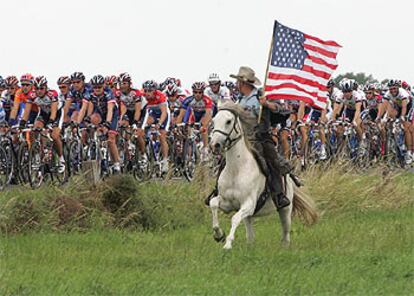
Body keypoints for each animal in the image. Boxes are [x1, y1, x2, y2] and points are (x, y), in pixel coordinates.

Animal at [209, 100, 318, 250]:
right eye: (214, 120)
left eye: (229, 121)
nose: (215, 145)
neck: (236, 170)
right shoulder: (227, 203)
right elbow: (213, 204)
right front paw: (219, 235)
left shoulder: (249, 204)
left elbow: (234, 218)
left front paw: (228, 243)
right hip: (249, 217)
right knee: (250, 235)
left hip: (285, 210)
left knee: (286, 232)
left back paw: (284, 247)